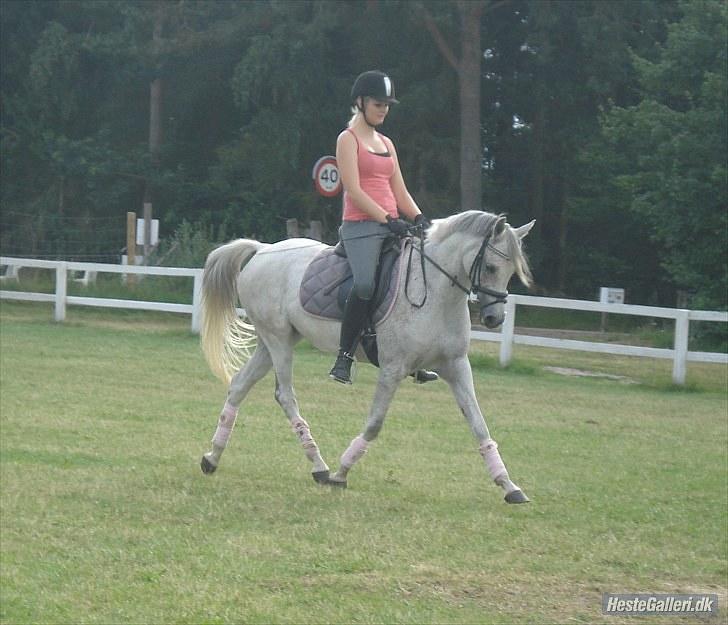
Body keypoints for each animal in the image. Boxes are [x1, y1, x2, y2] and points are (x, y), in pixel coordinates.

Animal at [199, 210, 536, 502]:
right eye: (491, 267)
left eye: (511, 272)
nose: (494, 318)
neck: (436, 294)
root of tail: (262, 249)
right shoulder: (392, 369)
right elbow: (374, 424)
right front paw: (341, 473)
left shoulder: (456, 366)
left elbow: (478, 424)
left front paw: (509, 486)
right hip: (278, 341)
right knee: (285, 395)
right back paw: (320, 467)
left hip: (272, 343)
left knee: (239, 385)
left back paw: (212, 457)